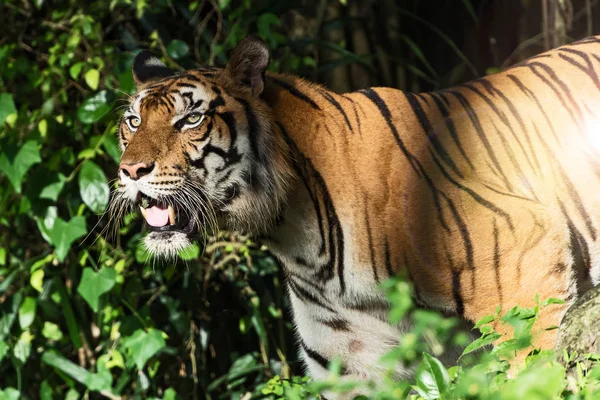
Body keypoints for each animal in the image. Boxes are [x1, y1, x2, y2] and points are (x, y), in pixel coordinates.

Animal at [111, 35, 600, 396]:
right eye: (133, 122)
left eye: (190, 119)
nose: (131, 171)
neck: (294, 235)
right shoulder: (349, 362)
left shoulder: (525, 272)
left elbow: (531, 377)